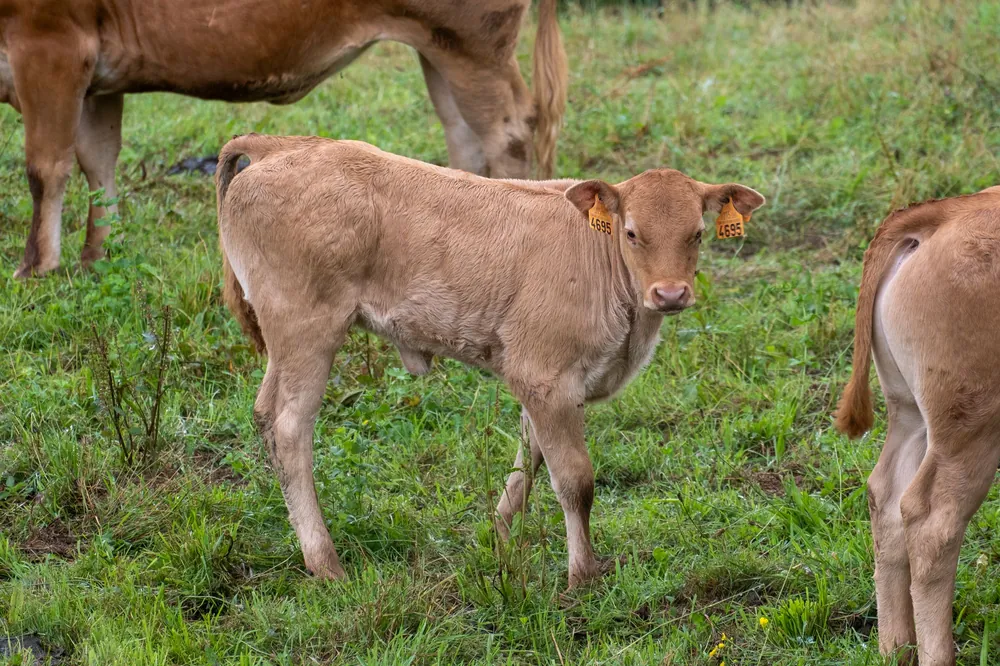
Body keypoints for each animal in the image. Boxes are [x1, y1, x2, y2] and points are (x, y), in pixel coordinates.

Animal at [0, 0, 568, 278]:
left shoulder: (50, 43)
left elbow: (46, 166)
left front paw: (34, 267)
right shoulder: (99, 74)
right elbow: (97, 162)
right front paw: (96, 255)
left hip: (473, 42)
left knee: (508, 132)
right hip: (440, 47)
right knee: (464, 139)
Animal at [215, 133, 765, 588]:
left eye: (697, 233)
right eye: (631, 233)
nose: (670, 293)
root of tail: (280, 145)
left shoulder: (544, 382)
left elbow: (530, 458)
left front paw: (497, 535)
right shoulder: (545, 375)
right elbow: (575, 480)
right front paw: (582, 575)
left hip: (285, 342)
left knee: (264, 415)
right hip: (307, 329)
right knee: (291, 428)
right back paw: (326, 564)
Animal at [835, 187, 1000, 666]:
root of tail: (952, 209)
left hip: (911, 413)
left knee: (886, 495)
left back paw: (896, 647)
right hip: (972, 430)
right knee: (932, 521)